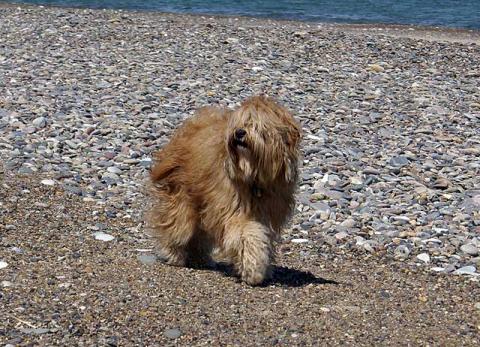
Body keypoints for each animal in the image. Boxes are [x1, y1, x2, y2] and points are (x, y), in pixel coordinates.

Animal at [148, 96, 302, 286]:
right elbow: (248, 236)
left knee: (199, 233)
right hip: (183, 196)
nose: (239, 133)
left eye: (257, 125)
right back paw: (174, 254)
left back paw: (200, 258)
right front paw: (253, 271)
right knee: (178, 225)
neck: (254, 178)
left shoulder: (270, 212)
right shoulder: (234, 210)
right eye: (240, 122)